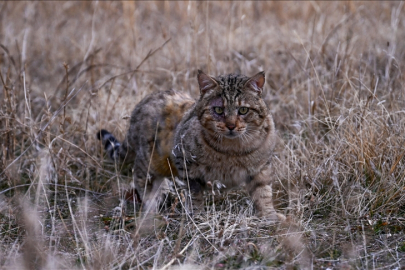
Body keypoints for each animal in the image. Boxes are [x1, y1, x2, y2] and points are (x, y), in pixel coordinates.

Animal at [98, 70, 284, 220]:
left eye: (243, 110)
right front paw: (197, 216)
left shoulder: (261, 168)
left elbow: (263, 193)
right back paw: (152, 204)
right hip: (150, 160)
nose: (231, 125)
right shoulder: (186, 164)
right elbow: (195, 194)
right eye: (218, 110)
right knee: (140, 176)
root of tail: (141, 104)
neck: (233, 150)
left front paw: (270, 216)